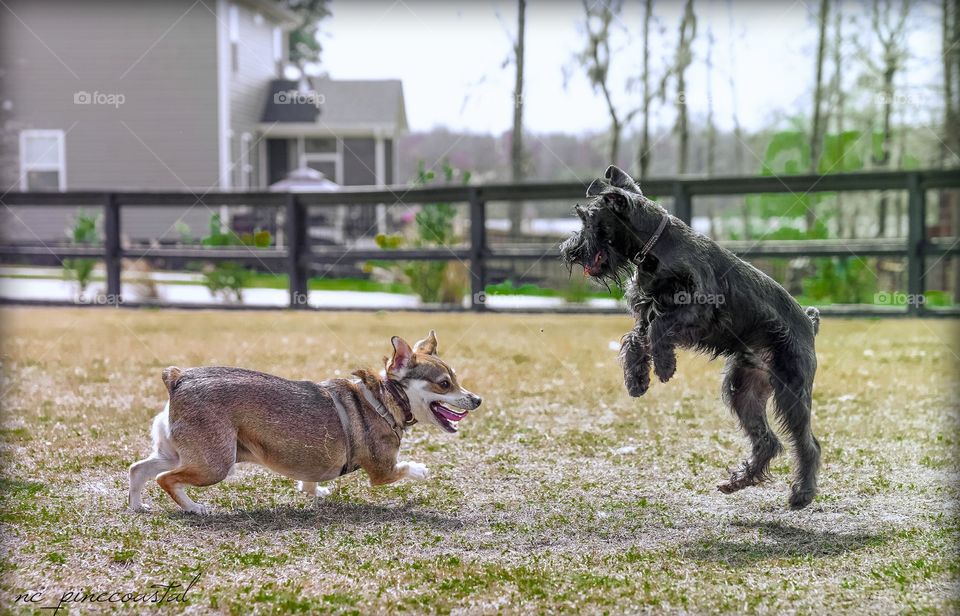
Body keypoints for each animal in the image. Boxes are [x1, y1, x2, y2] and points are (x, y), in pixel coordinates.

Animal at [129, 332, 480, 516]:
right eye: (445, 384)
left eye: (457, 380)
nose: (476, 399)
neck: (385, 400)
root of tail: (179, 379)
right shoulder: (382, 471)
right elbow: (404, 468)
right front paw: (421, 470)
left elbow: (310, 480)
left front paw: (315, 491)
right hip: (216, 464)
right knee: (164, 478)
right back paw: (195, 508)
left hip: (178, 452)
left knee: (139, 469)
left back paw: (137, 506)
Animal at [560, 166, 820, 508]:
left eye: (587, 219)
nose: (568, 251)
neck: (655, 248)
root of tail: (810, 323)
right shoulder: (645, 313)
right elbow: (635, 340)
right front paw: (637, 380)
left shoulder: (698, 308)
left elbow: (658, 329)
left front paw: (664, 367)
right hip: (743, 389)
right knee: (768, 441)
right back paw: (738, 481)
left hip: (791, 391)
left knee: (807, 443)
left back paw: (802, 493)